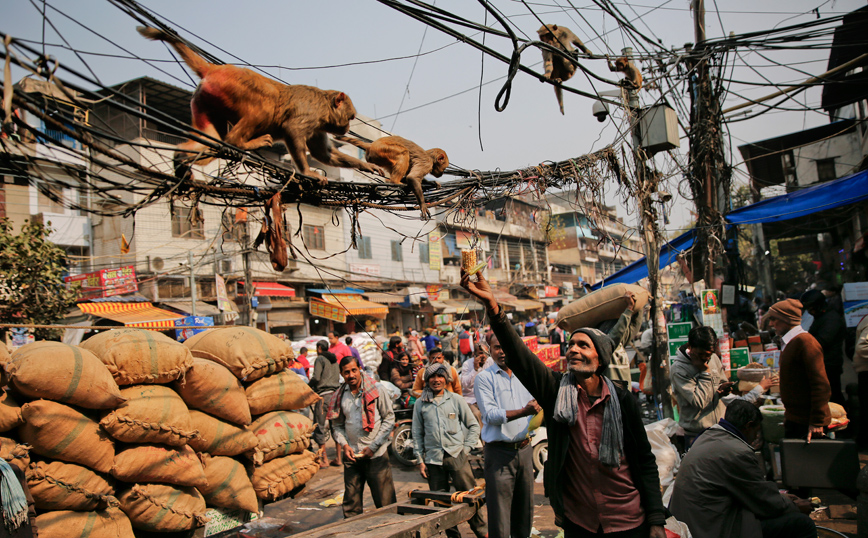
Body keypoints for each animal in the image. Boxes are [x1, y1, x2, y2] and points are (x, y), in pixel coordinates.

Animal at [136, 27, 384, 186]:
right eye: (351, 117)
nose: (346, 128)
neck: (324, 107)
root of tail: (214, 69)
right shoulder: (312, 115)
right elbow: (292, 130)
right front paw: (307, 172)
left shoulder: (318, 125)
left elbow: (324, 154)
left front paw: (368, 167)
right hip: (232, 88)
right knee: (264, 106)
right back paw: (238, 141)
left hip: (204, 100)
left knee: (210, 139)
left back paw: (180, 160)